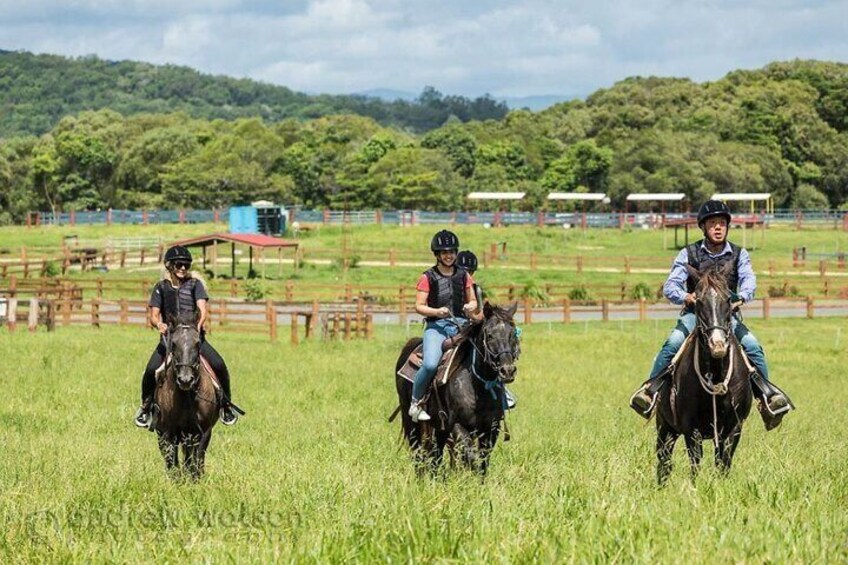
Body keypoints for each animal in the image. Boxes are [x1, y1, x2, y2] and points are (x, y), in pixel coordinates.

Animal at [151, 310, 220, 478]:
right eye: (174, 344)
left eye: (197, 343)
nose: (185, 380)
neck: (187, 398)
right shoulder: (169, 432)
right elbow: (172, 461)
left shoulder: (203, 431)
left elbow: (197, 460)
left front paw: (195, 480)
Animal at [394, 302, 520, 474]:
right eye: (489, 335)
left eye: (513, 334)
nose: (507, 370)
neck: (477, 387)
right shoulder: (456, 425)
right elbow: (471, 457)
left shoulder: (491, 428)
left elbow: (482, 462)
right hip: (412, 423)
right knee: (418, 454)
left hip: (437, 428)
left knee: (435, 456)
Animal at [652, 266, 752, 484]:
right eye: (698, 301)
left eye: (728, 299)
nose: (718, 345)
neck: (716, 374)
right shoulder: (691, 429)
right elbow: (695, 465)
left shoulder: (733, 428)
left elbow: (724, 463)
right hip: (665, 427)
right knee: (664, 461)